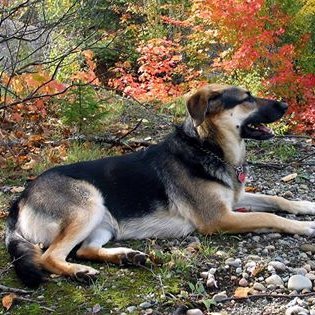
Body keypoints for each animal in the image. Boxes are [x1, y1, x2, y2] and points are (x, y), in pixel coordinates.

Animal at [4, 84, 315, 288]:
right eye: (247, 99)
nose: (286, 105)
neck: (206, 147)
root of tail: (20, 200)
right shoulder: (219, 218)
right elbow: (269, 216)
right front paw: (305, 226)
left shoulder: (235, 201)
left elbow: (276, 200)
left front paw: (306, 206)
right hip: (88, 204)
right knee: (51, 256)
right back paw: (79, 272)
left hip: (105, 222)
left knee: (85, 250)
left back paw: (126, 257)